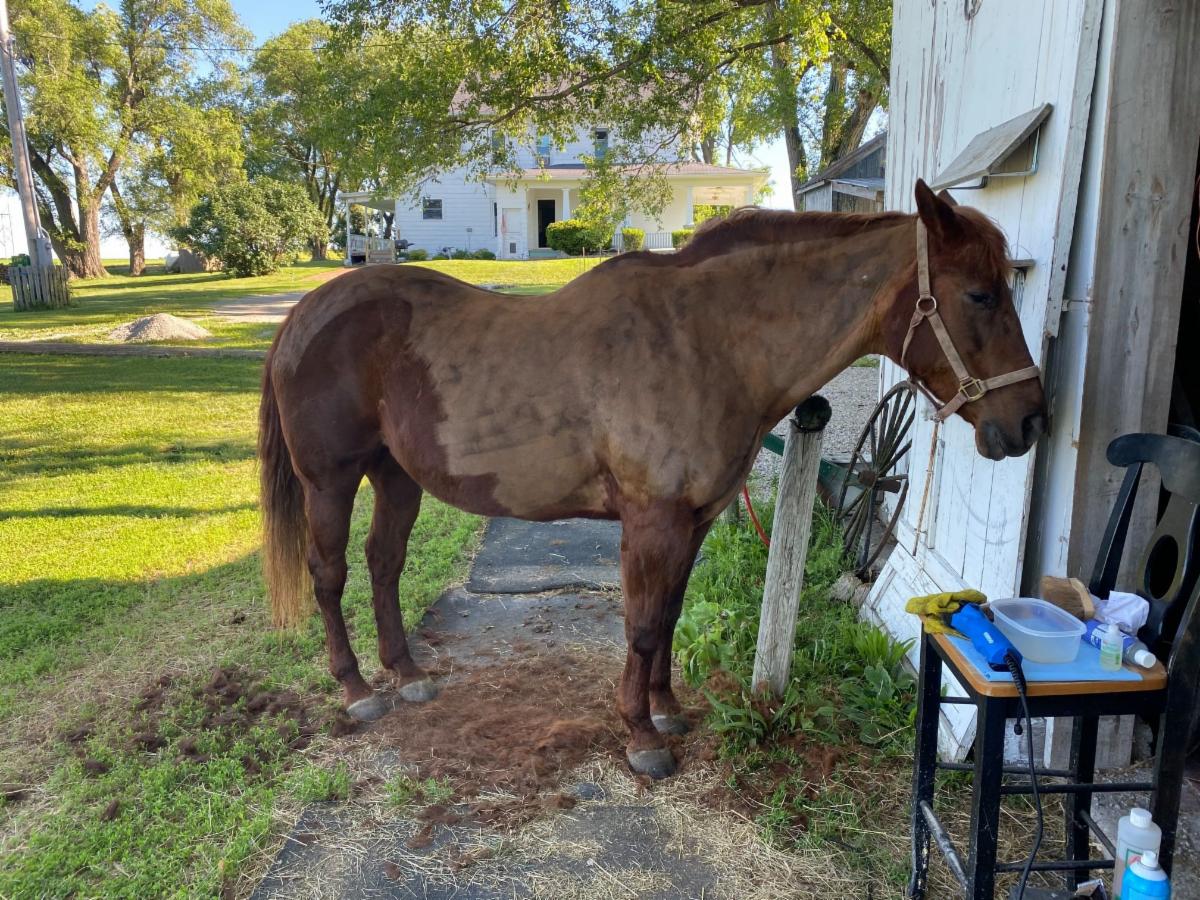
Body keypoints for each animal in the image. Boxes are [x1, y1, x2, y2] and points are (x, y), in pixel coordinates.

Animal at [258, 180, 1047, 778]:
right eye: (980, 295)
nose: (1031, 420)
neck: (708, 341)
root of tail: (304, 314)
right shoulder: (652, 520)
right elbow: (640, 626)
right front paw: (640, 736)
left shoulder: (694, 519)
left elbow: (666, 616)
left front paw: (667, 710)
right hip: (331, 480)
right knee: (330, 574)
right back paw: (358, 689)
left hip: (396, 478)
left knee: (382, 564)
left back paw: (409, 674)